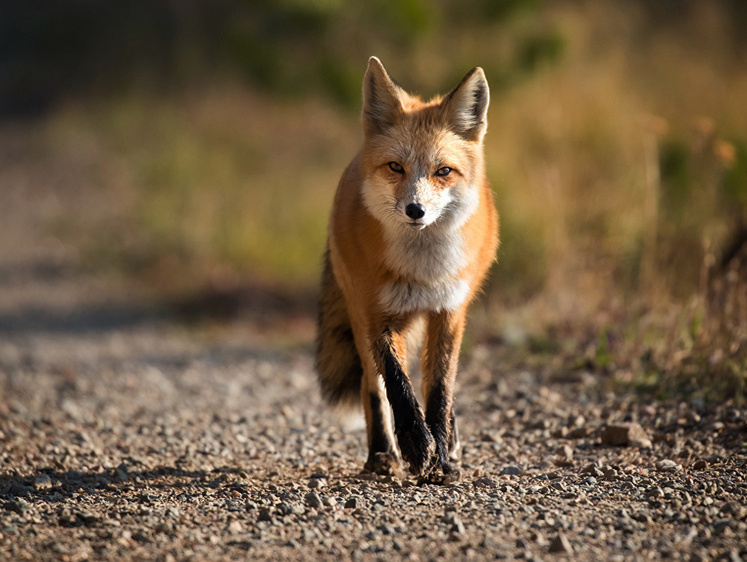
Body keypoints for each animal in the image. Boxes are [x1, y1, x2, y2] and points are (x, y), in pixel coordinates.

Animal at [314, 57, 496, 482]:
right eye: (396, 166)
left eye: (443, 171)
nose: (416, 210)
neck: (423, 271)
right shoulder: (376, 313)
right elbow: (397, 385)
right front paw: (415, 444)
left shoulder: (450, 312)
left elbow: (440, 390)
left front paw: (441, 453)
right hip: (359, 317)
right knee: (373, 386)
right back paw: (382, 453)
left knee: (437, 383)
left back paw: (450, 443)